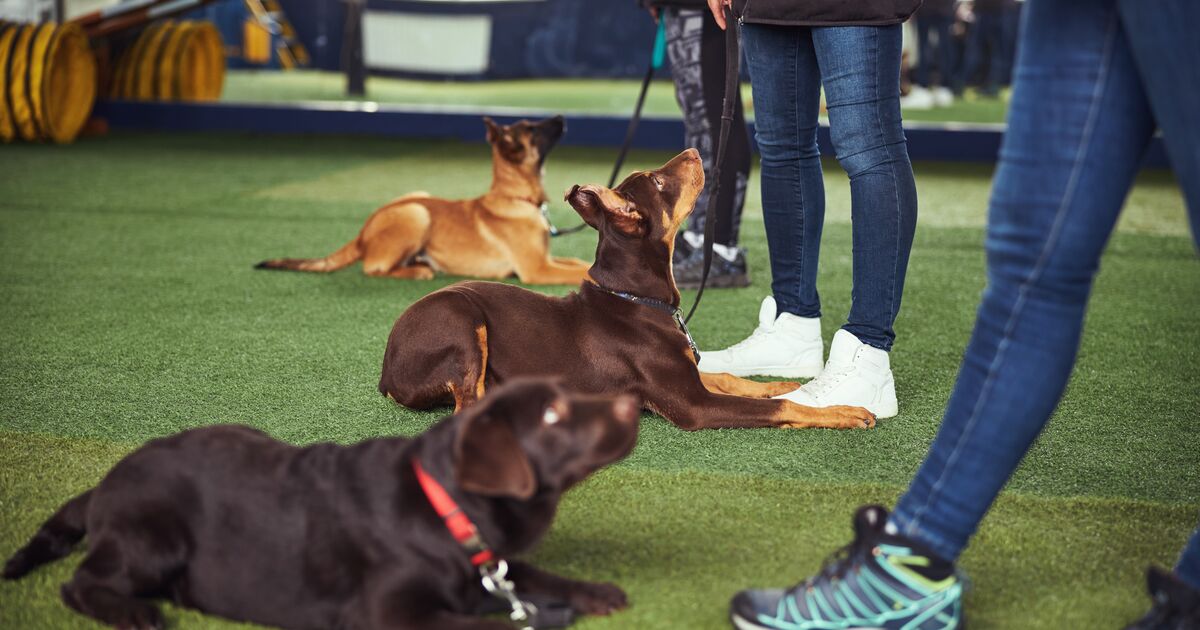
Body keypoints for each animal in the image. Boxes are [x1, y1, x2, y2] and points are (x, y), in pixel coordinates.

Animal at [4, 376, 643, 624]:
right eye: (553, 416)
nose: (631, 403)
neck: (445, 505)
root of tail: (104, 483)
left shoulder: (493, 564)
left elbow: (530, 573)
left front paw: (591, 591)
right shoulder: (391, 616)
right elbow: (489, 627)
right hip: (152, 537)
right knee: (79, 583)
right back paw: (134, 612)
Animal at [258, 115, 590, 284]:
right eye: (532, 128)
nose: (562, 116)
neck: (516, 196)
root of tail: (363, 232)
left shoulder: (547, 260)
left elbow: (579, 261)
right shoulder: (537, 270)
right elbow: (580, 272)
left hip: (418, 195)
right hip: (417, 213)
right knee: (374, 268)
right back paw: (420, 270)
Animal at [379, 150, 878, 429]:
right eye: (657, 180)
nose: (695, 150)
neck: (636, 300)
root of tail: (386, 371)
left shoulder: (688, 375)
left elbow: (731, 378)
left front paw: (781, 383)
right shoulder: (692, 406)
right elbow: (779, 409)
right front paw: (843, 412)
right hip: (461, 319)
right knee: (467, 407)